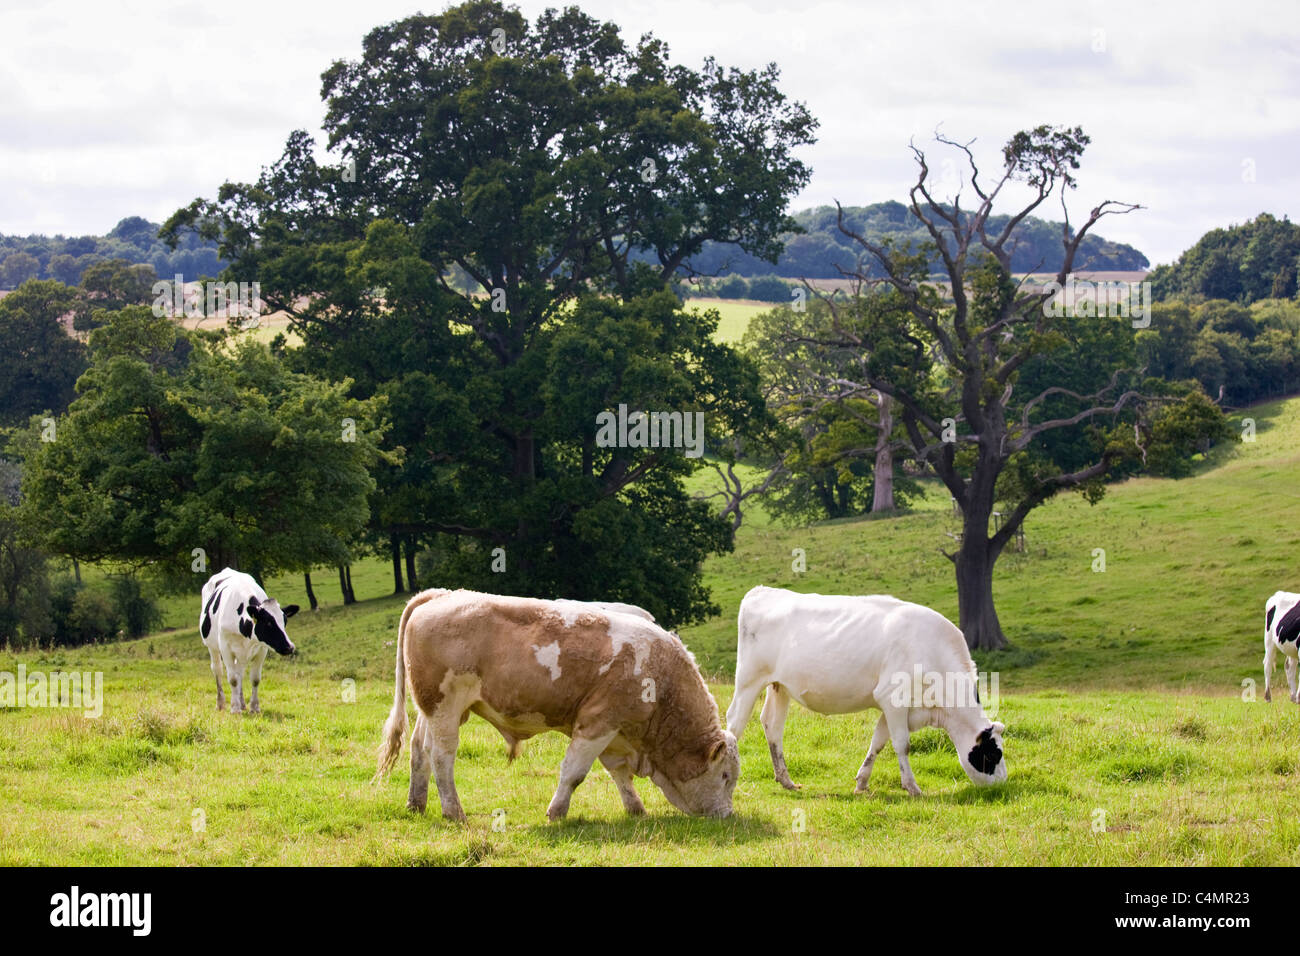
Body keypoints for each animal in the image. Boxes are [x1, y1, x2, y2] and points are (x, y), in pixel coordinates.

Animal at [196, 564, 297, 712]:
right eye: (268, 622)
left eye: (285, 621)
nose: (290, 647)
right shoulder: (226, 648)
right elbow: (232, 679)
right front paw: (234, 708)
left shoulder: (261, 649)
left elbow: (254, 679)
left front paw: (254, 707)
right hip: (212, 647)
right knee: (218, 670)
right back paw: (221, 703)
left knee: (240, 673)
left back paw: (242, 702)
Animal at [379, 590, 743, 822]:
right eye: (725, 775)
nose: (727, 815)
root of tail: (440, 595)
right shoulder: (598, 723)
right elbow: (574, 772)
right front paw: (557, 812)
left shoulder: (615, 733)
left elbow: (619, 774)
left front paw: (636, 809)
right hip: (445, 709)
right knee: (442, 757)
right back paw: (454, 812)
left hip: (435, 710)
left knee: (419, 750)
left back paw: (416, 804)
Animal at [728, 587, 1008, 796]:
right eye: (993, 754)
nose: (1003, 783)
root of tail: (762, 590)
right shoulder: (893, 698)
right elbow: (902, 744)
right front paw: (912, 787)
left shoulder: (893, 706)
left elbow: (879, 741)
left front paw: (862, 781)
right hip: (748, 681)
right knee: (734, 723)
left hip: (780, 687)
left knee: (772, 726)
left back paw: (786, 780)